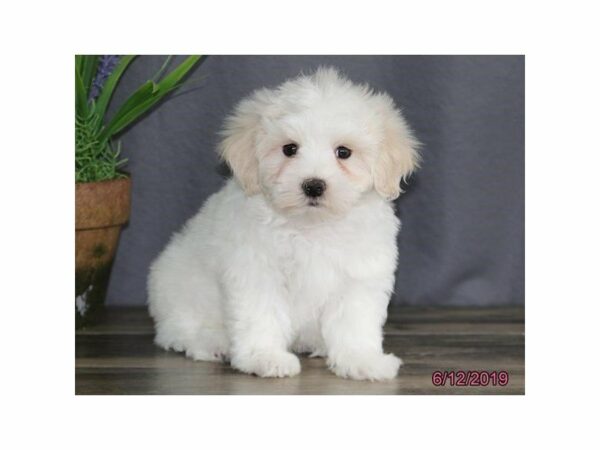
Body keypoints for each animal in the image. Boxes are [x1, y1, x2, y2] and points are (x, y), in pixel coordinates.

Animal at [148, 68, 420, 382]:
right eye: (289, 149)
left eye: (344, 152)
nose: (313, 186)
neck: (312, 226)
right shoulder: (257, 272)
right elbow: (261, 316)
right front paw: (264, 357)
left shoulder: (359, 275)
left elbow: (355, 321)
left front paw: (361, 359)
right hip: (179, 291)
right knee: (176, 331)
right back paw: (213, 343)